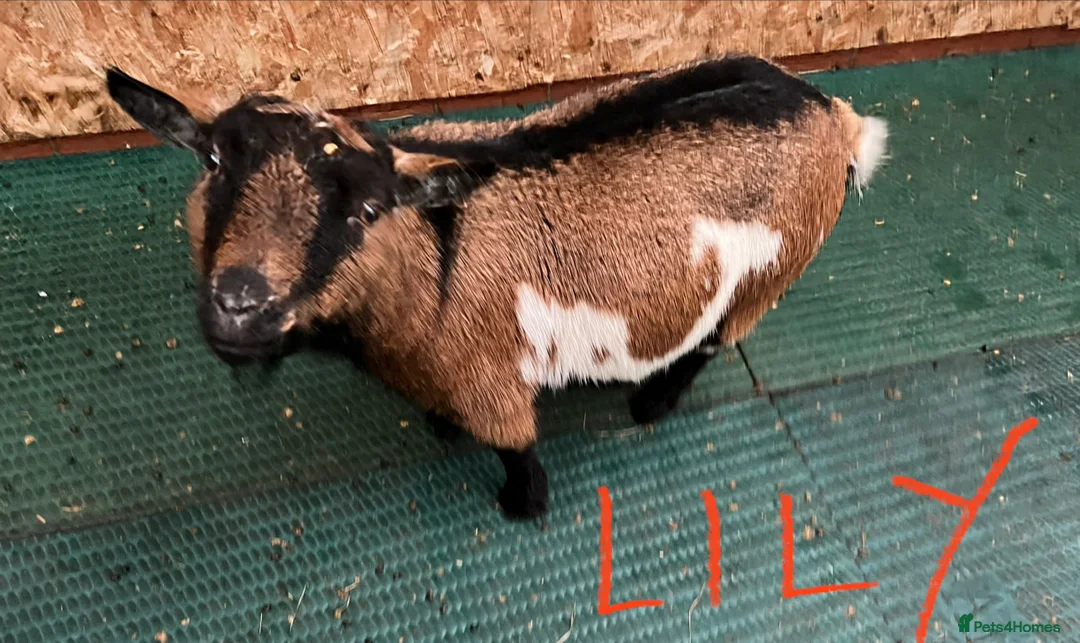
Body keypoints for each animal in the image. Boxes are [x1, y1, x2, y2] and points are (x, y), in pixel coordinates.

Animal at [104, 54, 888, 521]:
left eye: (364, 210)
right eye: (212, 160)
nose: (240, 303)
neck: (431, 267)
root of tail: (831, 112)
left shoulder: (487, 377)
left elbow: (514, 445)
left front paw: (522, 502)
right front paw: (440, 427)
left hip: (773, 270)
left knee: (714, 338)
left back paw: (649, 403)